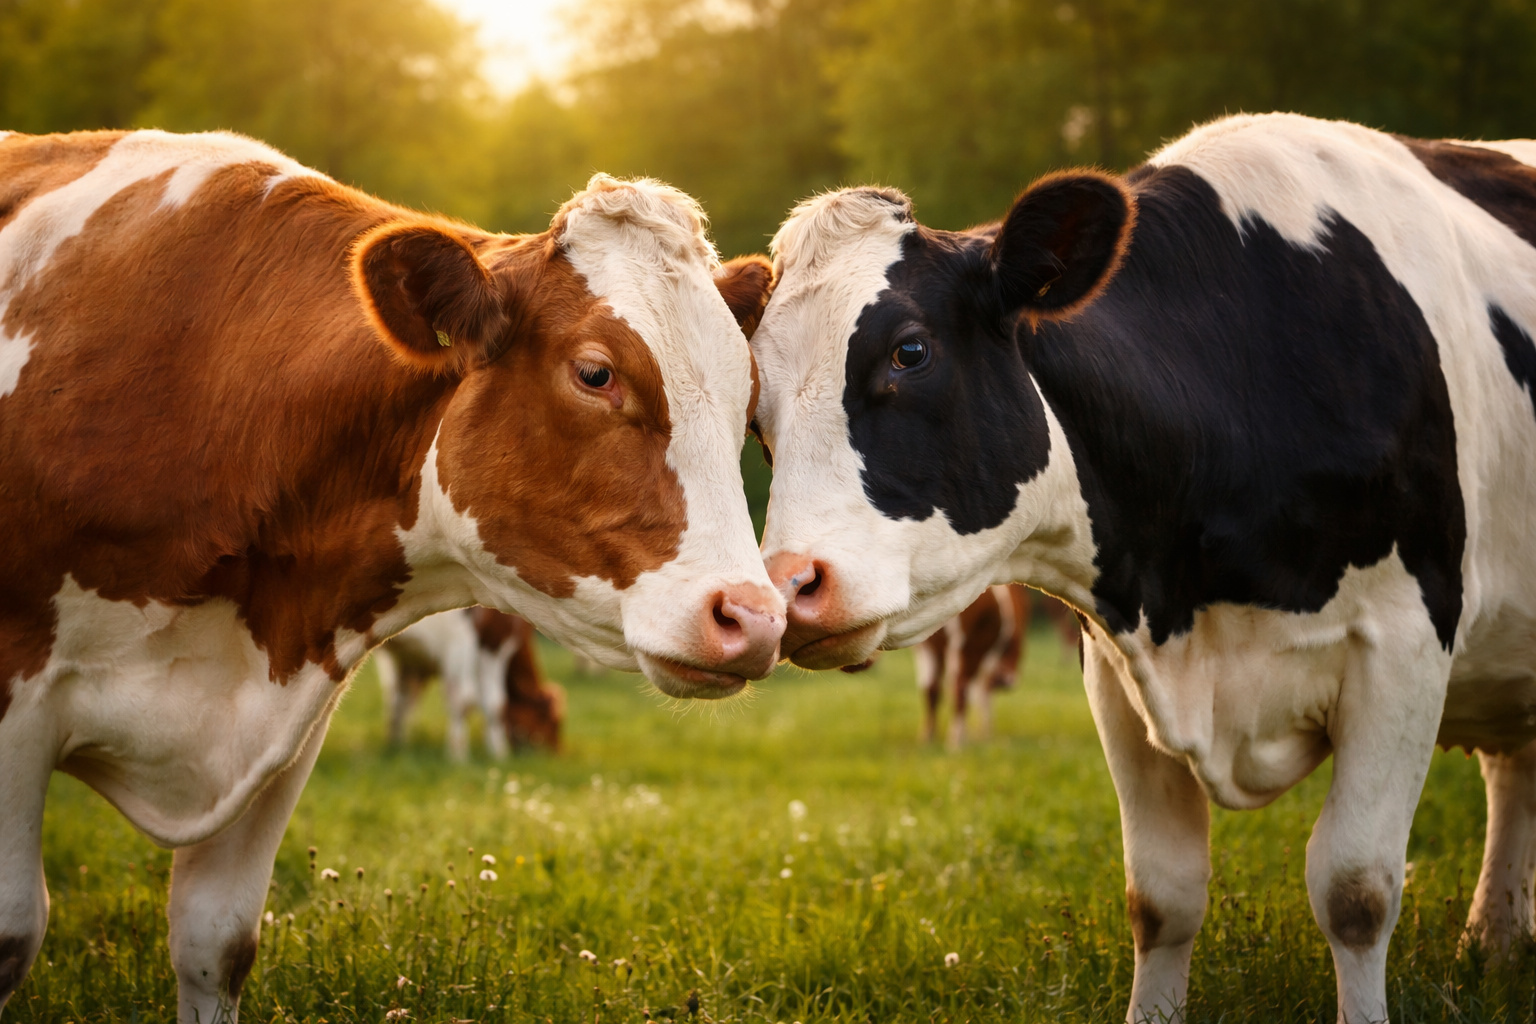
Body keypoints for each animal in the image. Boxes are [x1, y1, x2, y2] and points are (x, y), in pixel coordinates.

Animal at [0, 129, 781, 1022]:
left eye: (747, 396)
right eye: (595, 373)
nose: (754, 617)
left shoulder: (284, 722)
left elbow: (215, 941)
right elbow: (13, 932)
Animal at [747, 113, 1536, 1023]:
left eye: (910, 351)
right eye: (755, 406)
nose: (791, 587)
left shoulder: (1405, 643)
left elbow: (1357, 889)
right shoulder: (1119, 667)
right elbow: (1161, 895)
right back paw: (1495, 945)